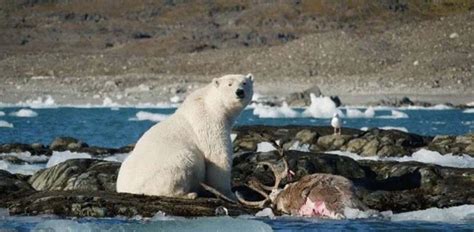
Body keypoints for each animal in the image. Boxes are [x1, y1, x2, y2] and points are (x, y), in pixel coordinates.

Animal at [116, 73, 254, 198]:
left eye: (244, 83)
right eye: (229, 84)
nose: (239, 92)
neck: (211, 105)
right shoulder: (208, 123)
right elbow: (217, 155)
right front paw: (230, 193)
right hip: (171, 164)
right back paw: (189, 194)